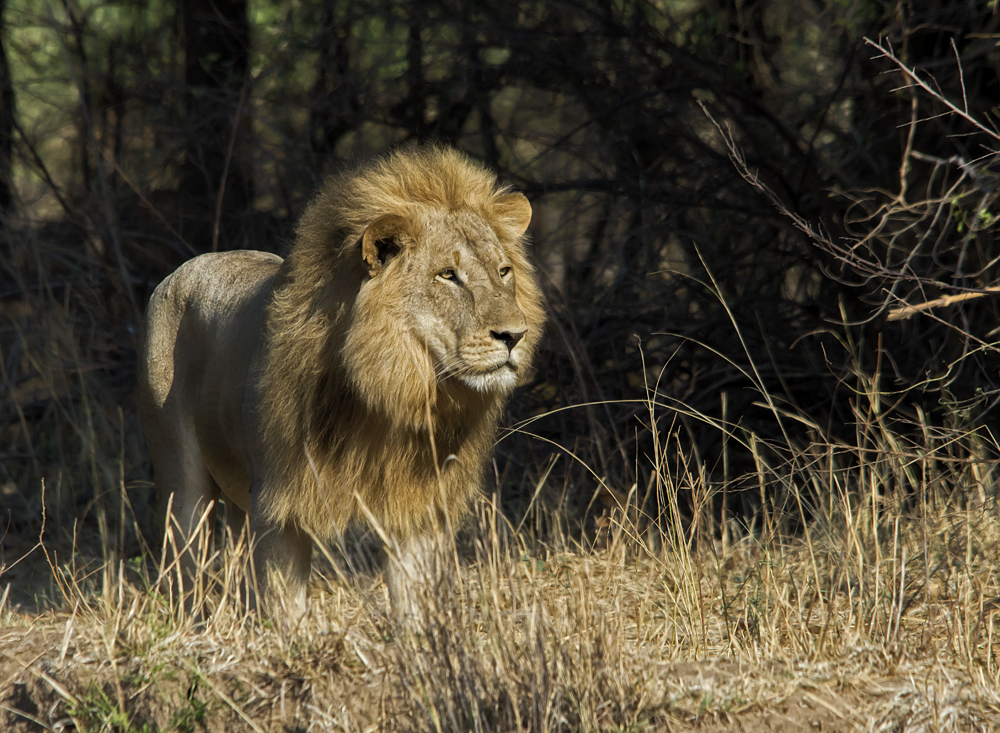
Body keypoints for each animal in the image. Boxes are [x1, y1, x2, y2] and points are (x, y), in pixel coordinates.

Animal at [139, 144, 548, 624]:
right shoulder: (279, 504)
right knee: (183, 562)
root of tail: (184, 268)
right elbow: (286, 607)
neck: (392, 387)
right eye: (447, 275)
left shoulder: (420, 506)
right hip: (181, 479)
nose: (515, 336)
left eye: (504, 271)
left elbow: (414, 603)